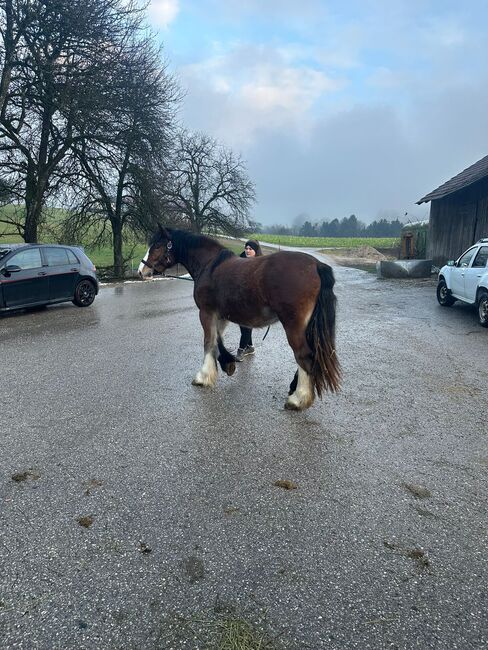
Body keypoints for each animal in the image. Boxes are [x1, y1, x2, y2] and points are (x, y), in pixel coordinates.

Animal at [139, 227, 342, 410]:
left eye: (157, 246)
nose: (141, 271)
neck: (210, 265)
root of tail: (316, 265)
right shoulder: (221, 316)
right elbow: (217, 340)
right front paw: (227, 363)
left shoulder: (206, 313)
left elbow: (208, 342)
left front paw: (203, 377)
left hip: (293, 326)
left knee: (304, 356)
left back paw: (298, 399)